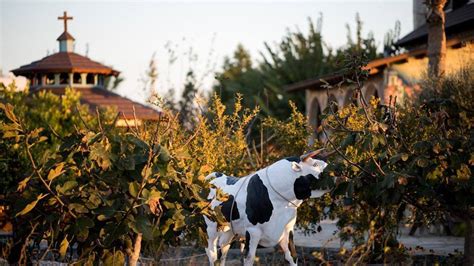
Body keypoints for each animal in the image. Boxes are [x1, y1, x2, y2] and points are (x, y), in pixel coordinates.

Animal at [205, 149, 334, 264]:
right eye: (315, 164)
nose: (335, 172)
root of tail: (216, 176)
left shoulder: (287, 228)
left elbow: (293, 256)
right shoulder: (252, 231)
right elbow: (249, 259)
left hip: (229, 230)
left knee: (222, 251)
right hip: (210, 229)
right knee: (212, 253)